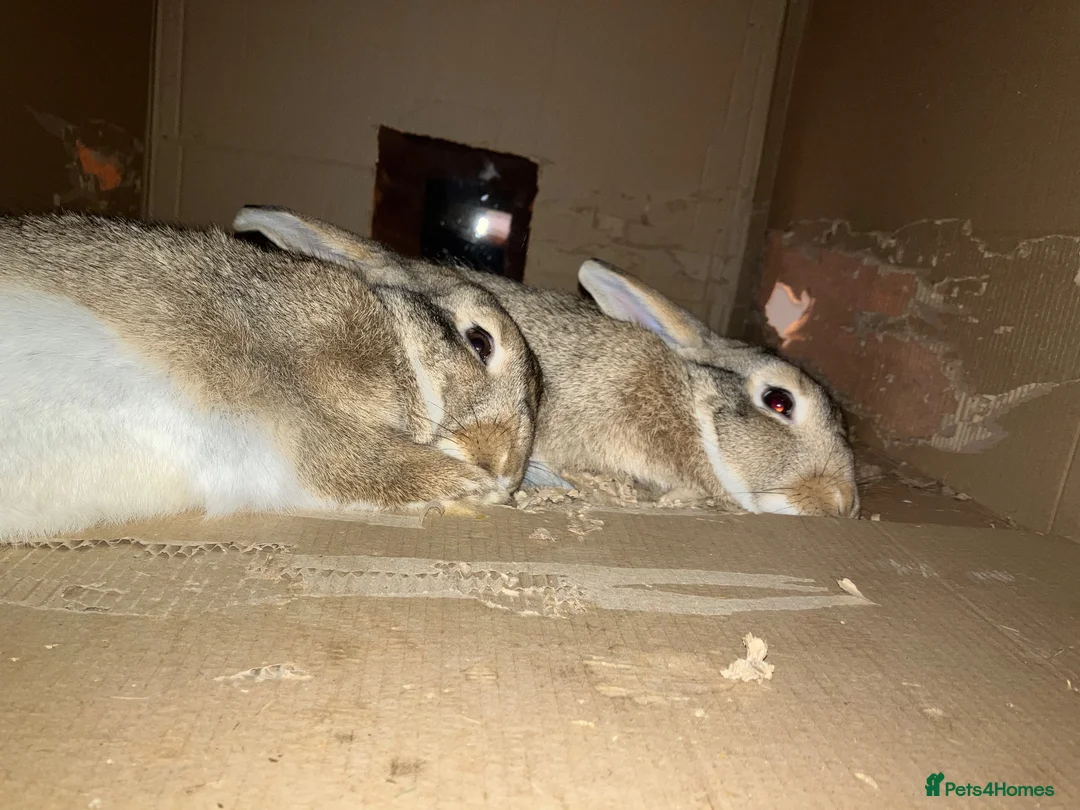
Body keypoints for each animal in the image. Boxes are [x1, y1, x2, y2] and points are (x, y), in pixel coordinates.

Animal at [0, 212, 541, 541]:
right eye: (480, 341)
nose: (505, 467)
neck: (401, 348)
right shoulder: (312, 411)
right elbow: (360, 462)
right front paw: (476, 487)